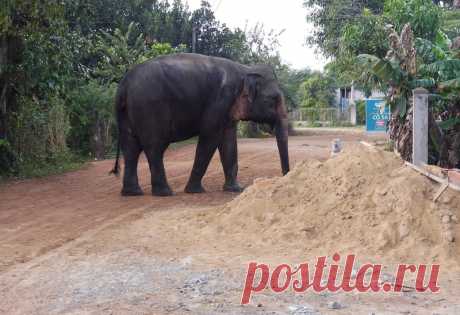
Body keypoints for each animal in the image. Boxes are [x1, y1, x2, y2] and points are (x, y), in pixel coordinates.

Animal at [111, 53, 290, 198]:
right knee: (155, 147)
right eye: (273, 99)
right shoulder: (220, 100)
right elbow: (210, 137)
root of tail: (124, 85)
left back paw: (132, 193)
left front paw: (235, 189)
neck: (245, 69)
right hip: (150, 108)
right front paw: (195, 191)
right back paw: (165, 193)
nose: (284, 177)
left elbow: (228, 141)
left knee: (131, 147)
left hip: (127, 113)